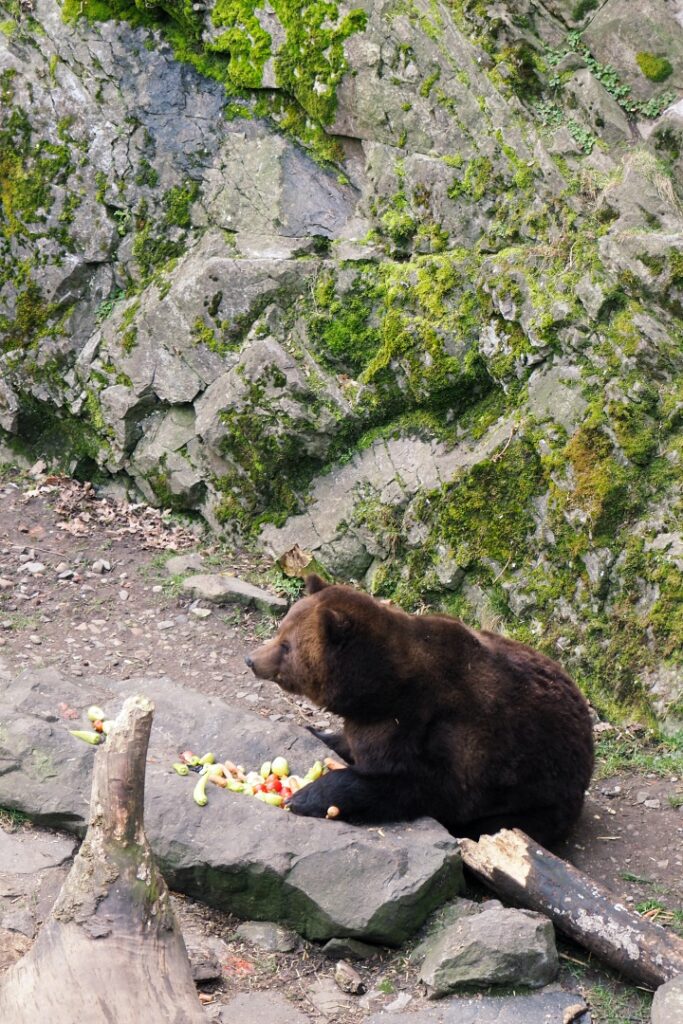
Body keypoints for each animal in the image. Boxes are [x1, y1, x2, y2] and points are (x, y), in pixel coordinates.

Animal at [244, 573, 593, 843]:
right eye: (281, 629)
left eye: (286, 646)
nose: (251, 659)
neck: (378, 689)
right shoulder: (372, 722)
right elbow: (350, 743)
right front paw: (315, 731)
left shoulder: (438, 728)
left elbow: (423, 787)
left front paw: (308, 796)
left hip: (539, 794)